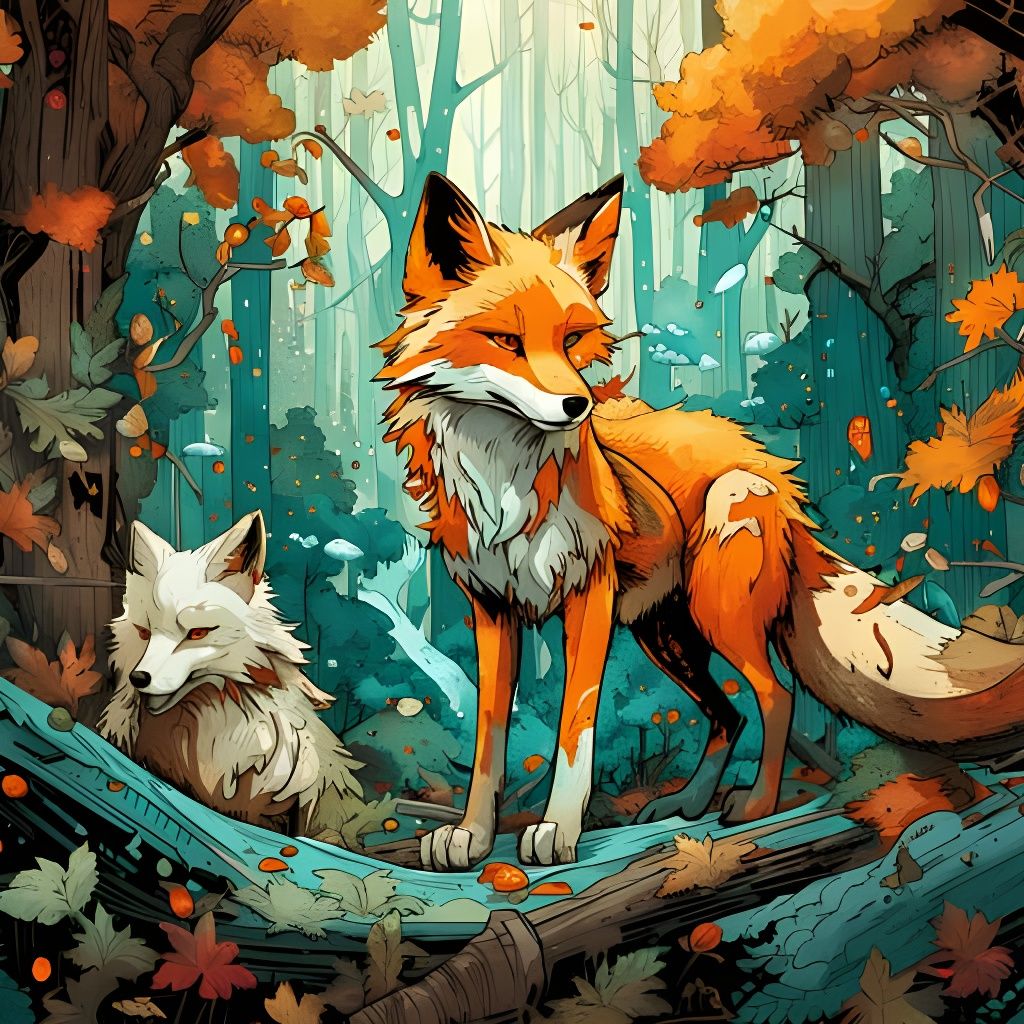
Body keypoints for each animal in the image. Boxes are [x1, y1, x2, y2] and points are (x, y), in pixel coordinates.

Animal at [377, 171, 1024, 871]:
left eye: (571, 340)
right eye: (505, 342)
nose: (578, 405)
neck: (502, 490)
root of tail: (769, 467)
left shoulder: (588, 597)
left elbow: (576, 728)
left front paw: (559, 829)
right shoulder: (491, 606)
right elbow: (488, 740)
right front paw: (471, 835)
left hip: (716, 610)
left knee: (774, 696)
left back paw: (757, 806)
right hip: (664, 634)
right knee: (727, 715)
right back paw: (689, 802)